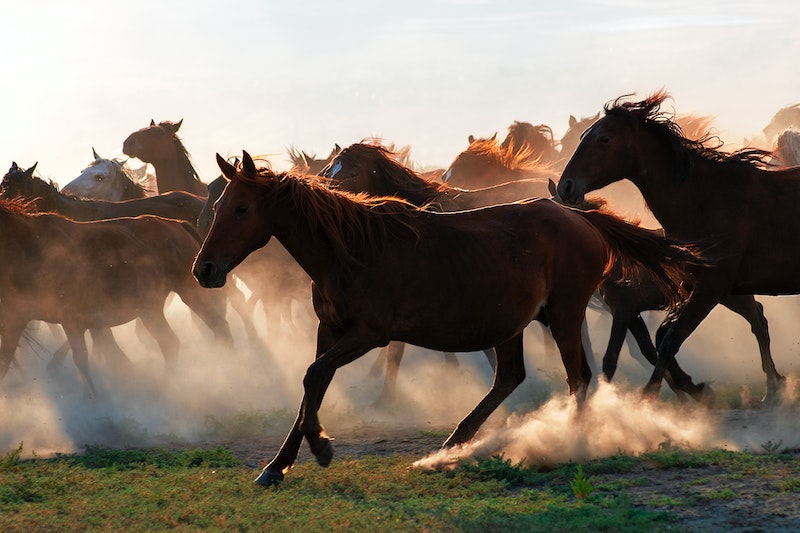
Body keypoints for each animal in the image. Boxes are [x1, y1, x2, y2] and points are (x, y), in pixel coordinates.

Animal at [192, 151, 700, 486]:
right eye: (219, 206)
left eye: (241, 208)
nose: (205, 270)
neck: (352, 250)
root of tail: (579, 217)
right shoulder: (329, 330)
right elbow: (311, 384)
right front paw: (277, 465)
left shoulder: (369, 335)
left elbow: (315, 377)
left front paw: (321, 447)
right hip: (513, 323)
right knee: (511, 377)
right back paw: (454, 444)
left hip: (563, 314)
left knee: (578, 377)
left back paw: (567, 443)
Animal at [560, 90, 792, 400]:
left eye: (604, 139)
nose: (566, 186)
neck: (707, 199)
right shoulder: (647, 306)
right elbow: (654, 345)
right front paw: (687, 388)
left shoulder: (693, 291)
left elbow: (655, 345)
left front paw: (652, 398)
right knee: (758, 319)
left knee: (758, 320)